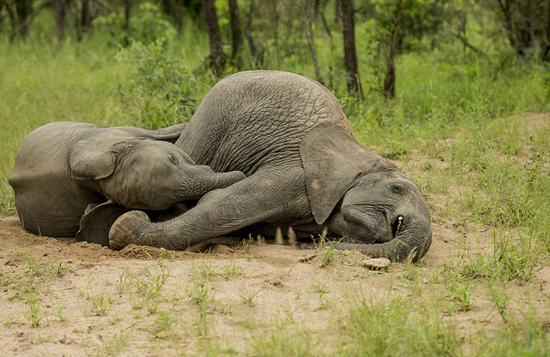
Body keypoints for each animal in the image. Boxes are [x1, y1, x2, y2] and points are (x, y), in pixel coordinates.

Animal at [110, 71, 434, 262]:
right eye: (396, 188)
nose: (317, 251)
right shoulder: (295, 174)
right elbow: (216, 209)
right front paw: (124, 228)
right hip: (210, 120)